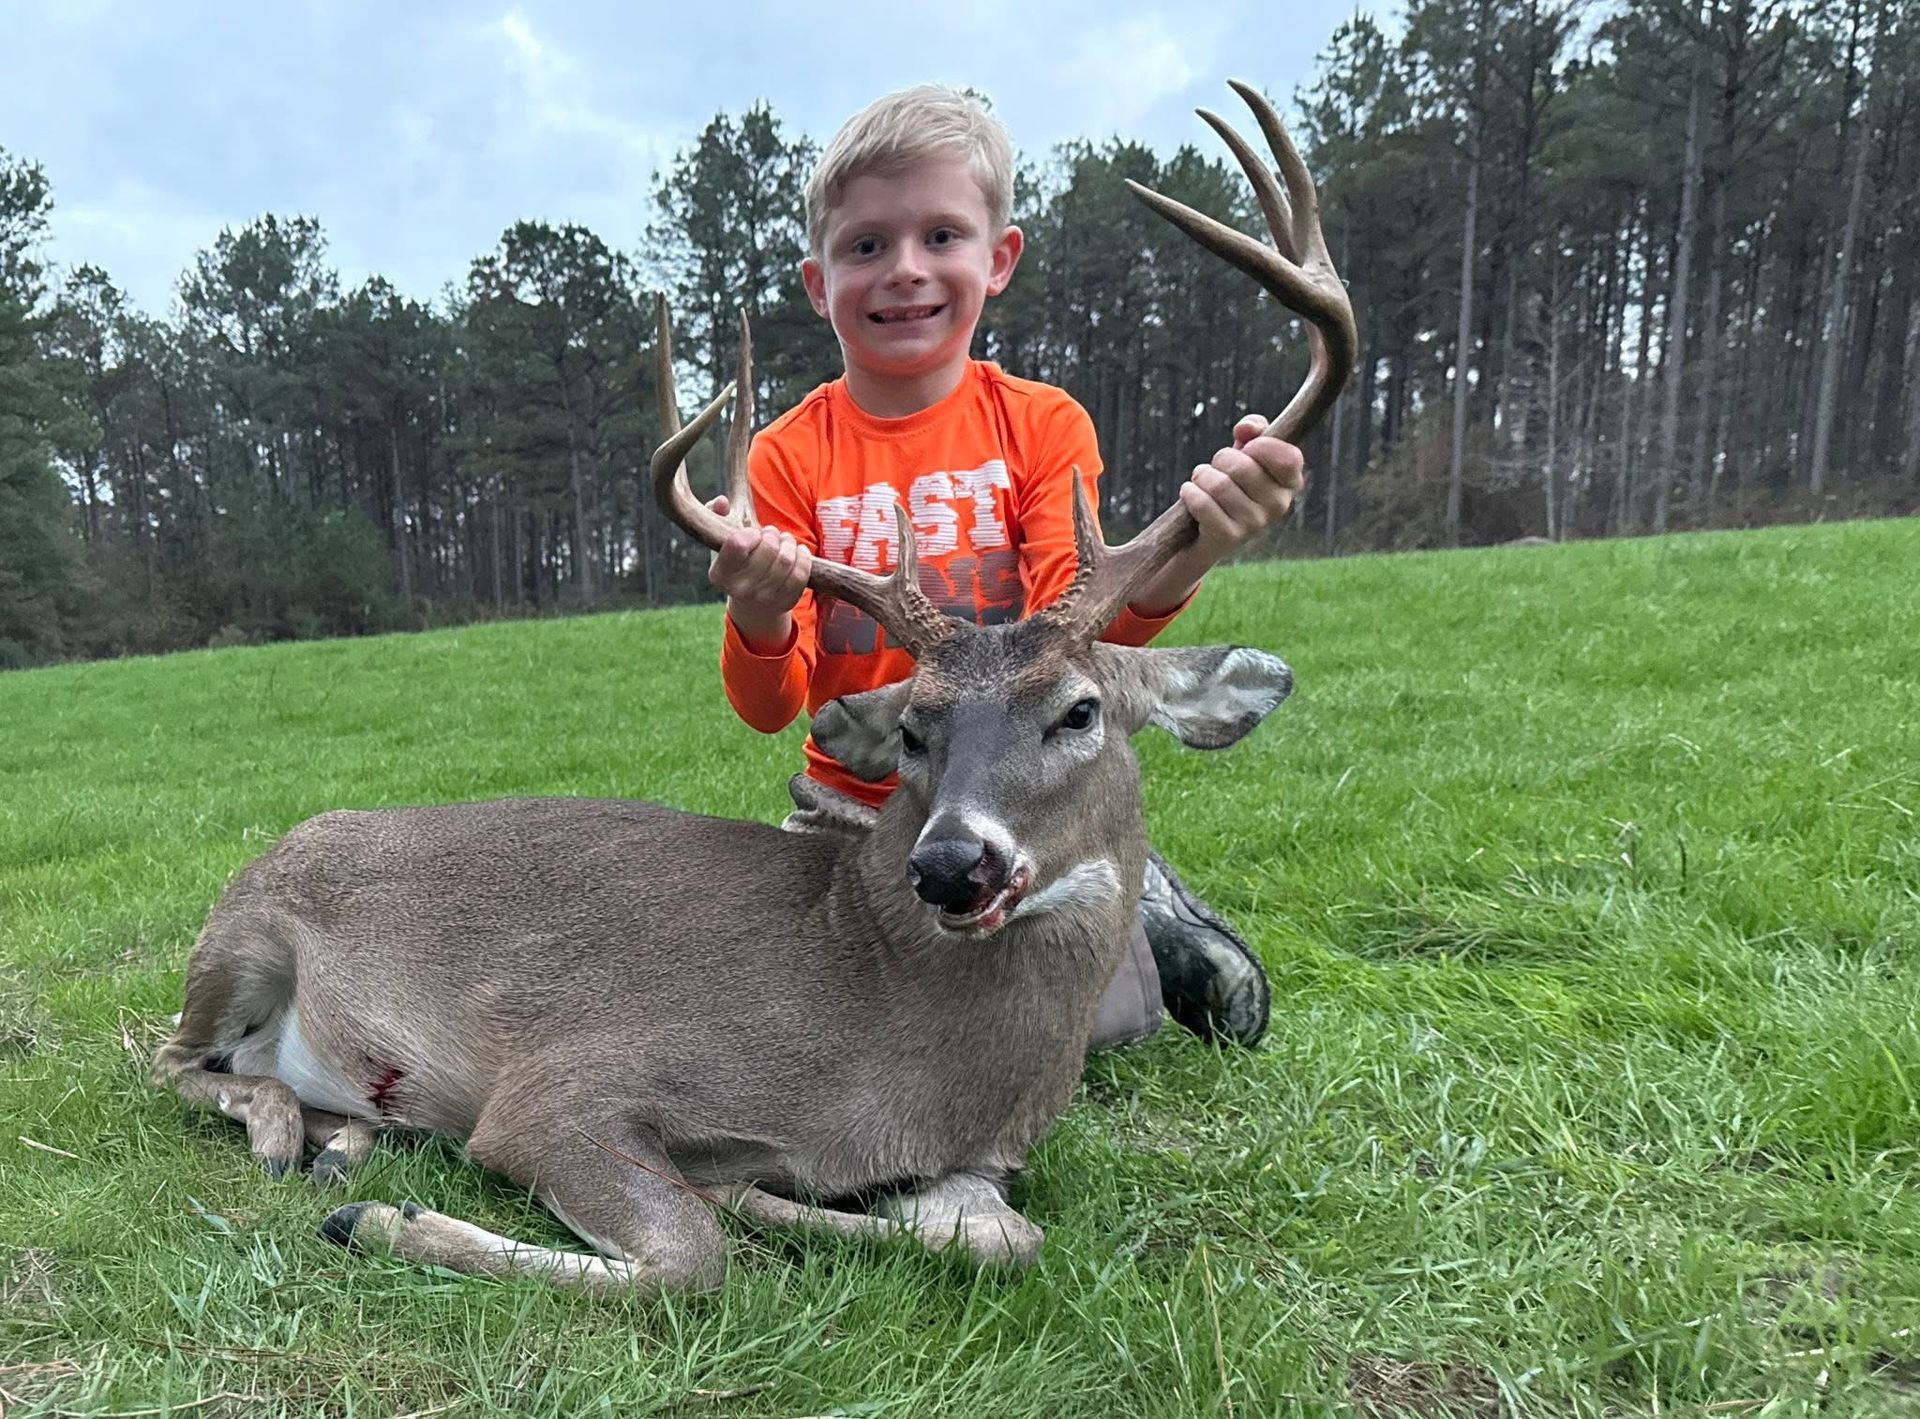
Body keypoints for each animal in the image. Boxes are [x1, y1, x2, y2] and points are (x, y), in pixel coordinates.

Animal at [149, 83, 1356, 1293]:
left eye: (1081, 711)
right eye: (914, 731)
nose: (951, 864)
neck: (905, 1053)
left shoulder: (981, 1167)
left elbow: (1000, 1241)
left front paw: (778, 1193)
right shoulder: (563, 1083)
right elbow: (693, 1255)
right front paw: (388, 1223)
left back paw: (345, 1135)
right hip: (242, 936)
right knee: (171, 1059)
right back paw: (296, 1139)